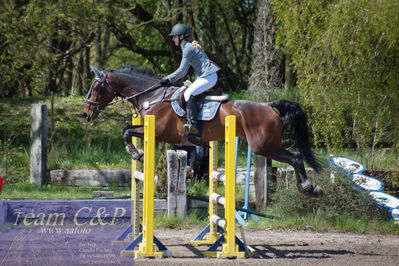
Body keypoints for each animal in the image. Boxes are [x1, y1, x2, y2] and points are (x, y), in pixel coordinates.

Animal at [83, 64, 324, 197]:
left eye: (95, 88)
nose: (86, 114)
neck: (151, 95)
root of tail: (269, 106)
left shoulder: (158, 132)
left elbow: (126, 131)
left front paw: (137, 153)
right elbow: (127, 129)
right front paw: (139, 153)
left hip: (264, 145)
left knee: (295, 157)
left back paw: (308, 187)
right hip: (266, 145)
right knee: (295, 157)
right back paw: (309, 188)